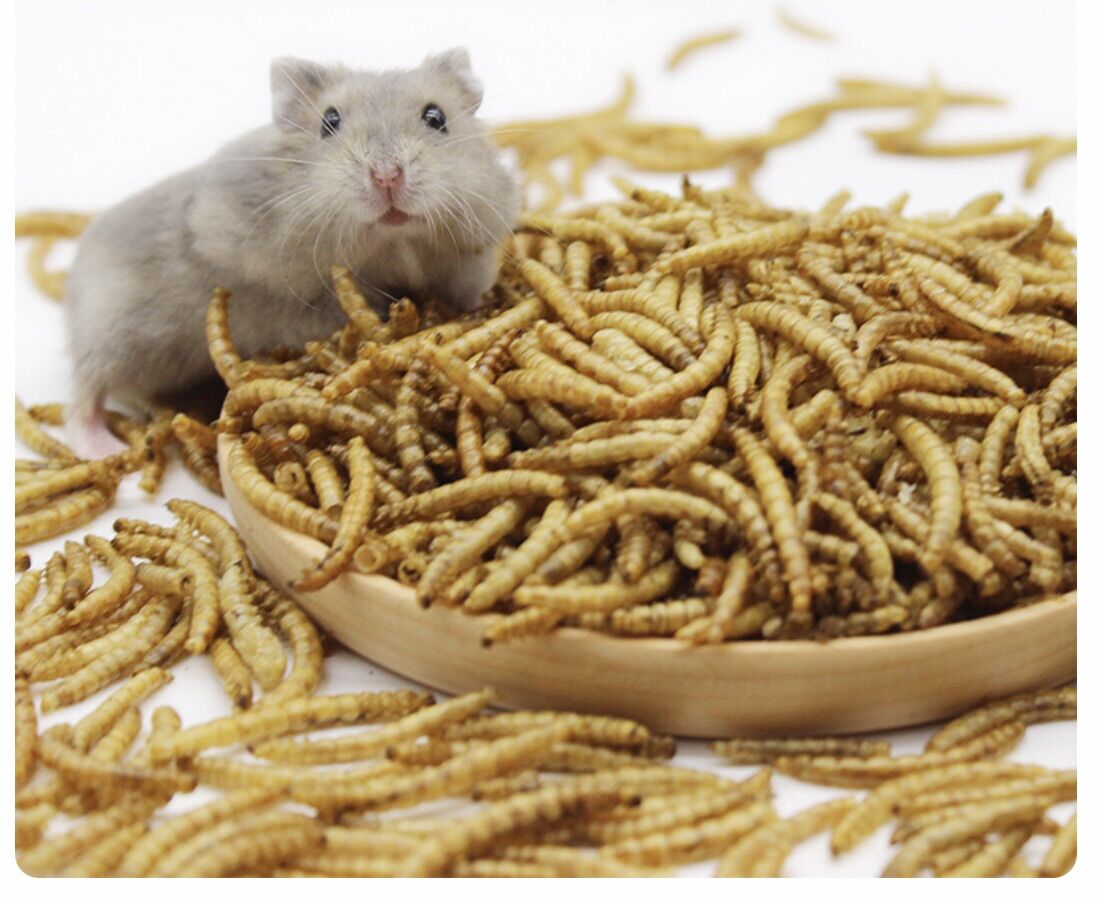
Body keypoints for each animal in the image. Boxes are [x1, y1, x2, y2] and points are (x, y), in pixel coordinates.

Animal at [65, 48, 519, 454]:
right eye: (329, 121)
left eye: (436, 118)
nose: (387, 176)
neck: (395, 243)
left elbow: (466, 295)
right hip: (111, 332)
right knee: (84, 395)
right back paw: (102, 448)